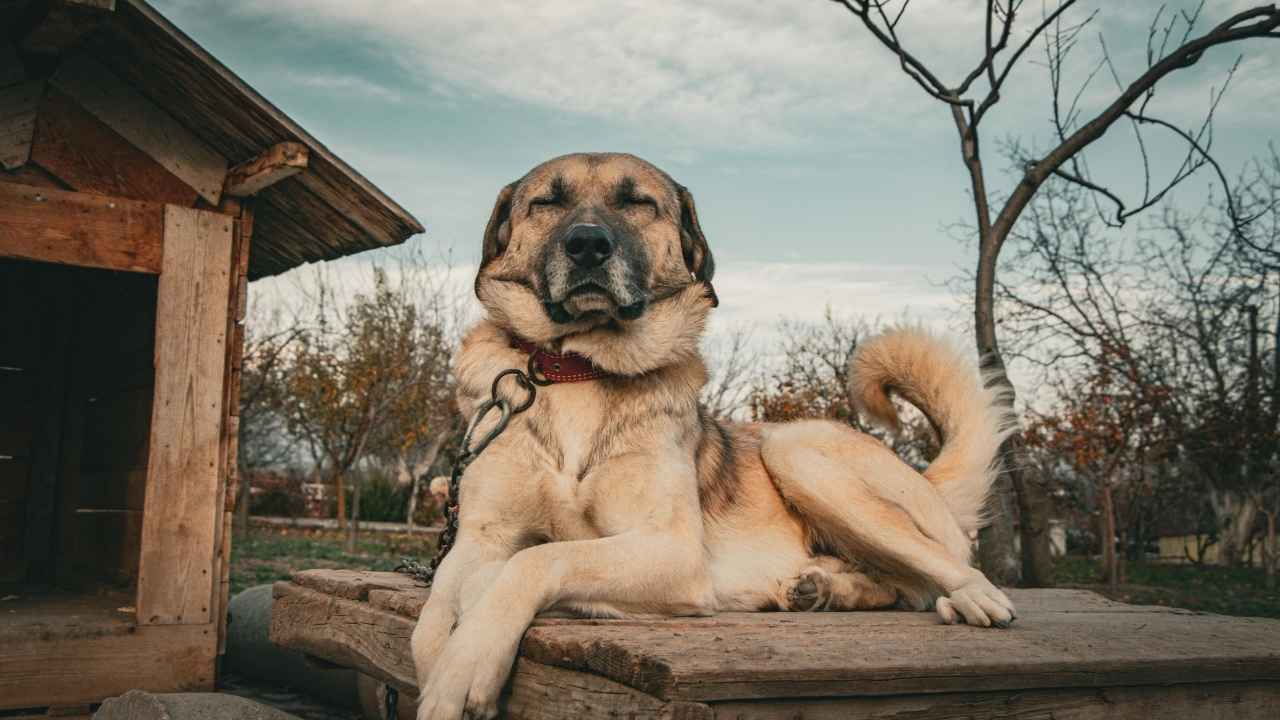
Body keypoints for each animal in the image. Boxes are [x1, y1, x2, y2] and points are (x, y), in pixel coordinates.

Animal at [414, 151, 1013, 717]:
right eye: (547, 202)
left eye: (638, 202)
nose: (587, 244)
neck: (578, 369)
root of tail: (930, 483)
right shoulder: (479, 538)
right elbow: (434, 613)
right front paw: (446, 652)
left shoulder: (672, 550)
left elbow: (536, 559)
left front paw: (468, 662)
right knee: (893, 583)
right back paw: (821, 587)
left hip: (792, 450)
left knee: (948, 567)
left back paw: (968, 598)